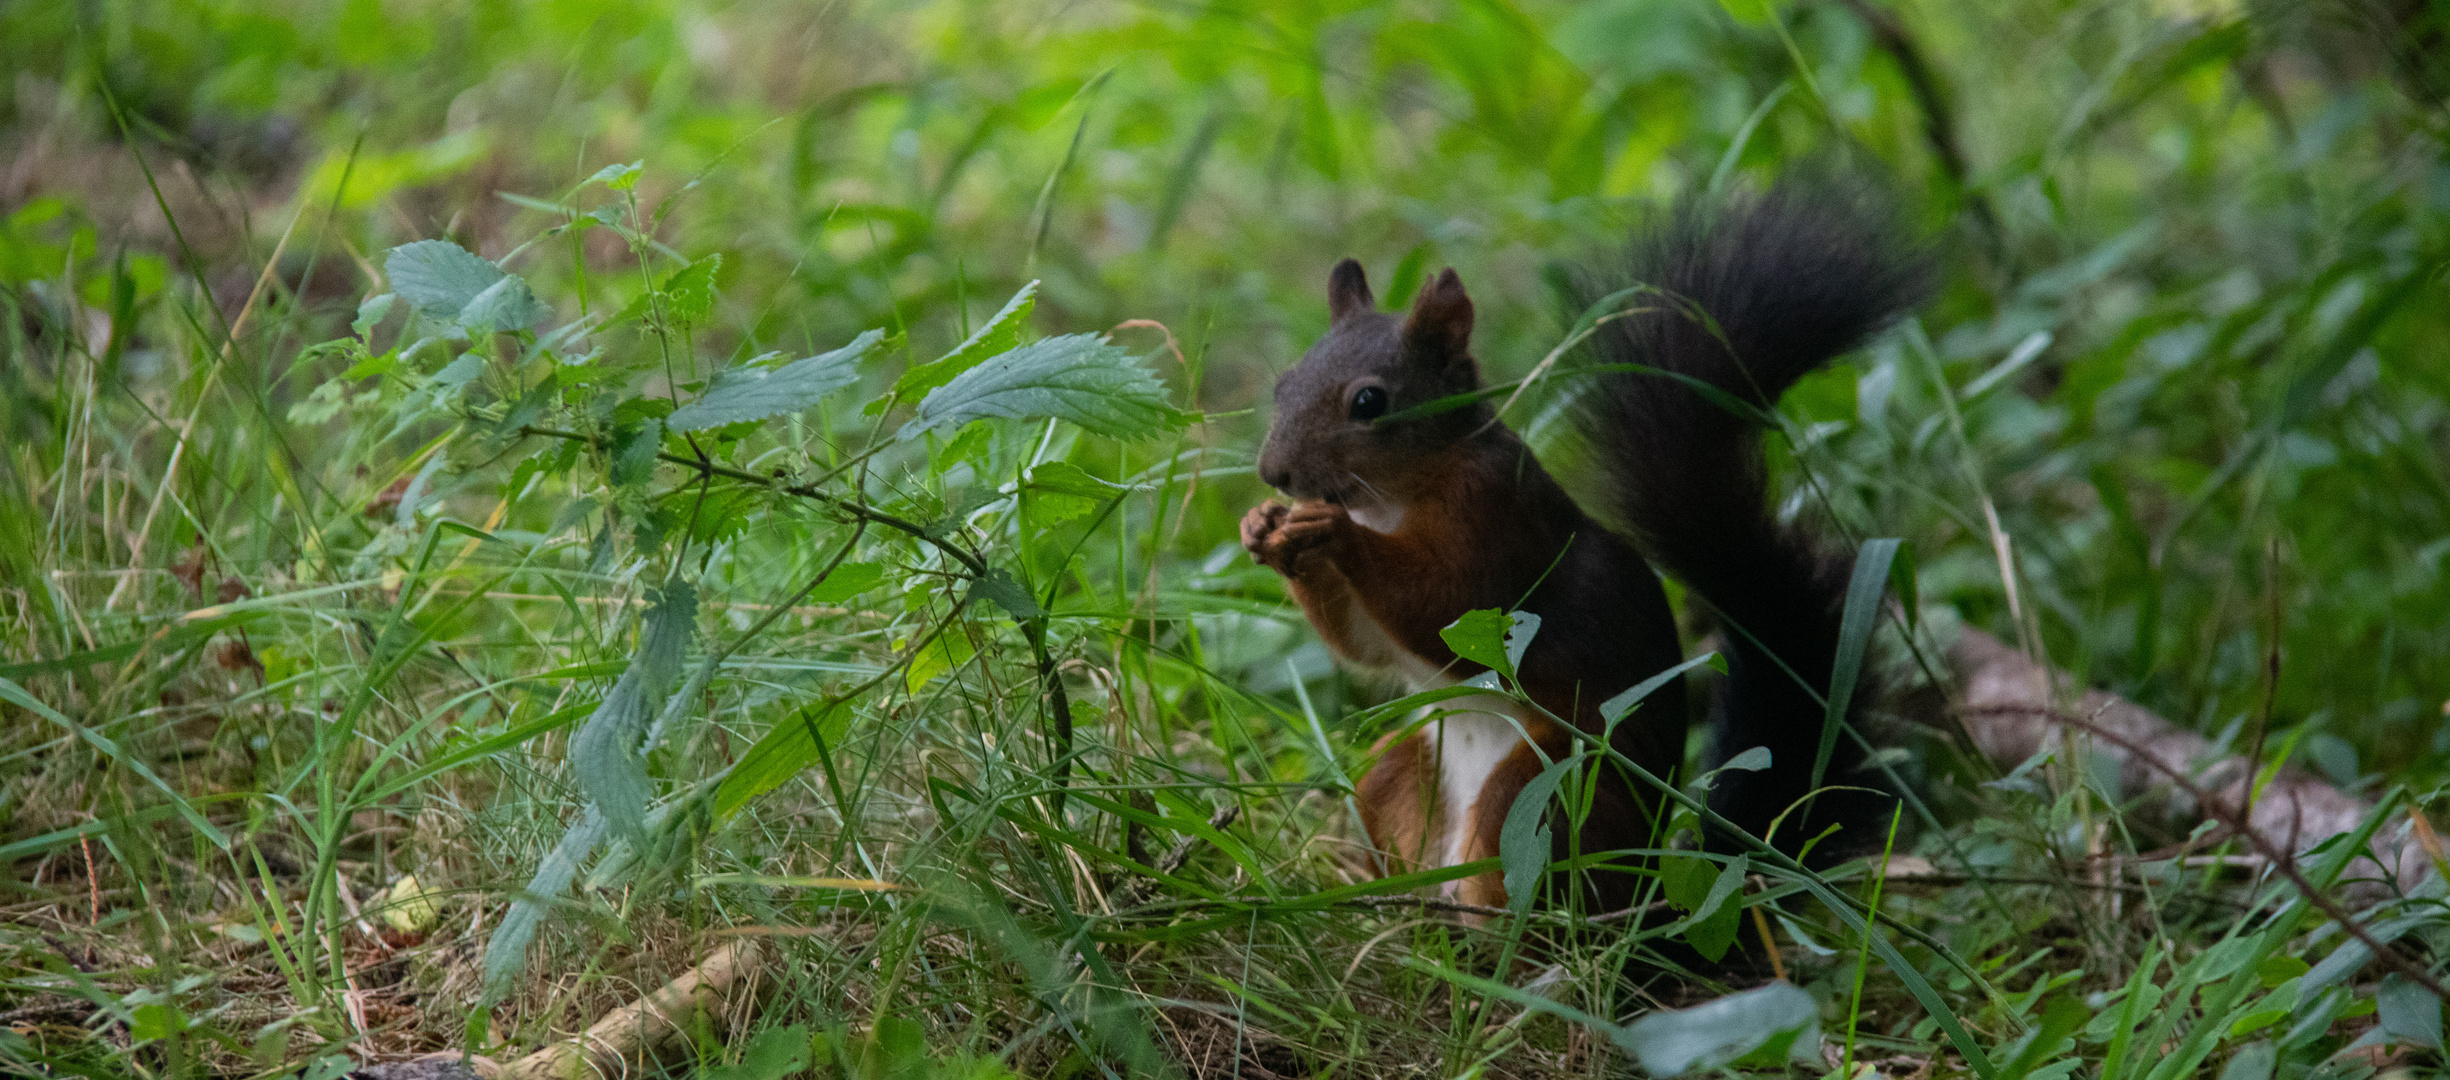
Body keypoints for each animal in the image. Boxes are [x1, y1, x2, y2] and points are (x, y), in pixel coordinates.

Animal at [1244, 178, 1930, 915]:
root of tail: (1654, 894)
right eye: (1283, 384)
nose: (1273, 472)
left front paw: (1332, 533)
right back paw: (1401, 909)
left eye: (1369, 402)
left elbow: (1447, 602)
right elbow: (1367, 646)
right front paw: (1265, 529)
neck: (1391, 496)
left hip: (1547, 789)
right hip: (1402, 768)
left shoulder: (1498, 517)